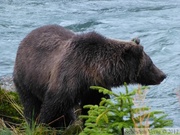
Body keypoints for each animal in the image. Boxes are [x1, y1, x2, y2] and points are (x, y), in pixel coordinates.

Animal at [13, 24, 167, 129]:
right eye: (150, 63)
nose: (163, 75)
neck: (92, 71)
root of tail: (25, 38)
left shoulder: (95, 88)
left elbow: (94, 106)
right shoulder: (67, 78)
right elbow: (53, 105)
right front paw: (45, 123)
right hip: (26, 78)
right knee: (30, 103)